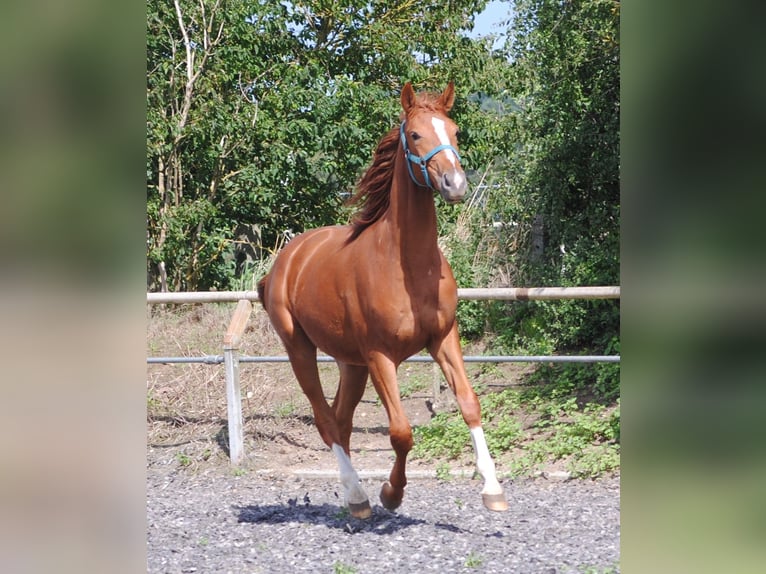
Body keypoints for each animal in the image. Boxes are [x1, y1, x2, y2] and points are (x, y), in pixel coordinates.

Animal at [257, 82, 508, 519]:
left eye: (455, 131)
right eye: (415, 134)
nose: (455, 184)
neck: (407, 266)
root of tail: (284, 263)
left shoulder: (443, 338)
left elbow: (469, 403)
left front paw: (492, 490)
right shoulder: (380, 356)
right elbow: (401, 432)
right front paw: (392, 494)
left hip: (350, 362)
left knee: (340, 420)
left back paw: (352, 497)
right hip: (300, 350)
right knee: (325, 419)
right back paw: (359, 497)